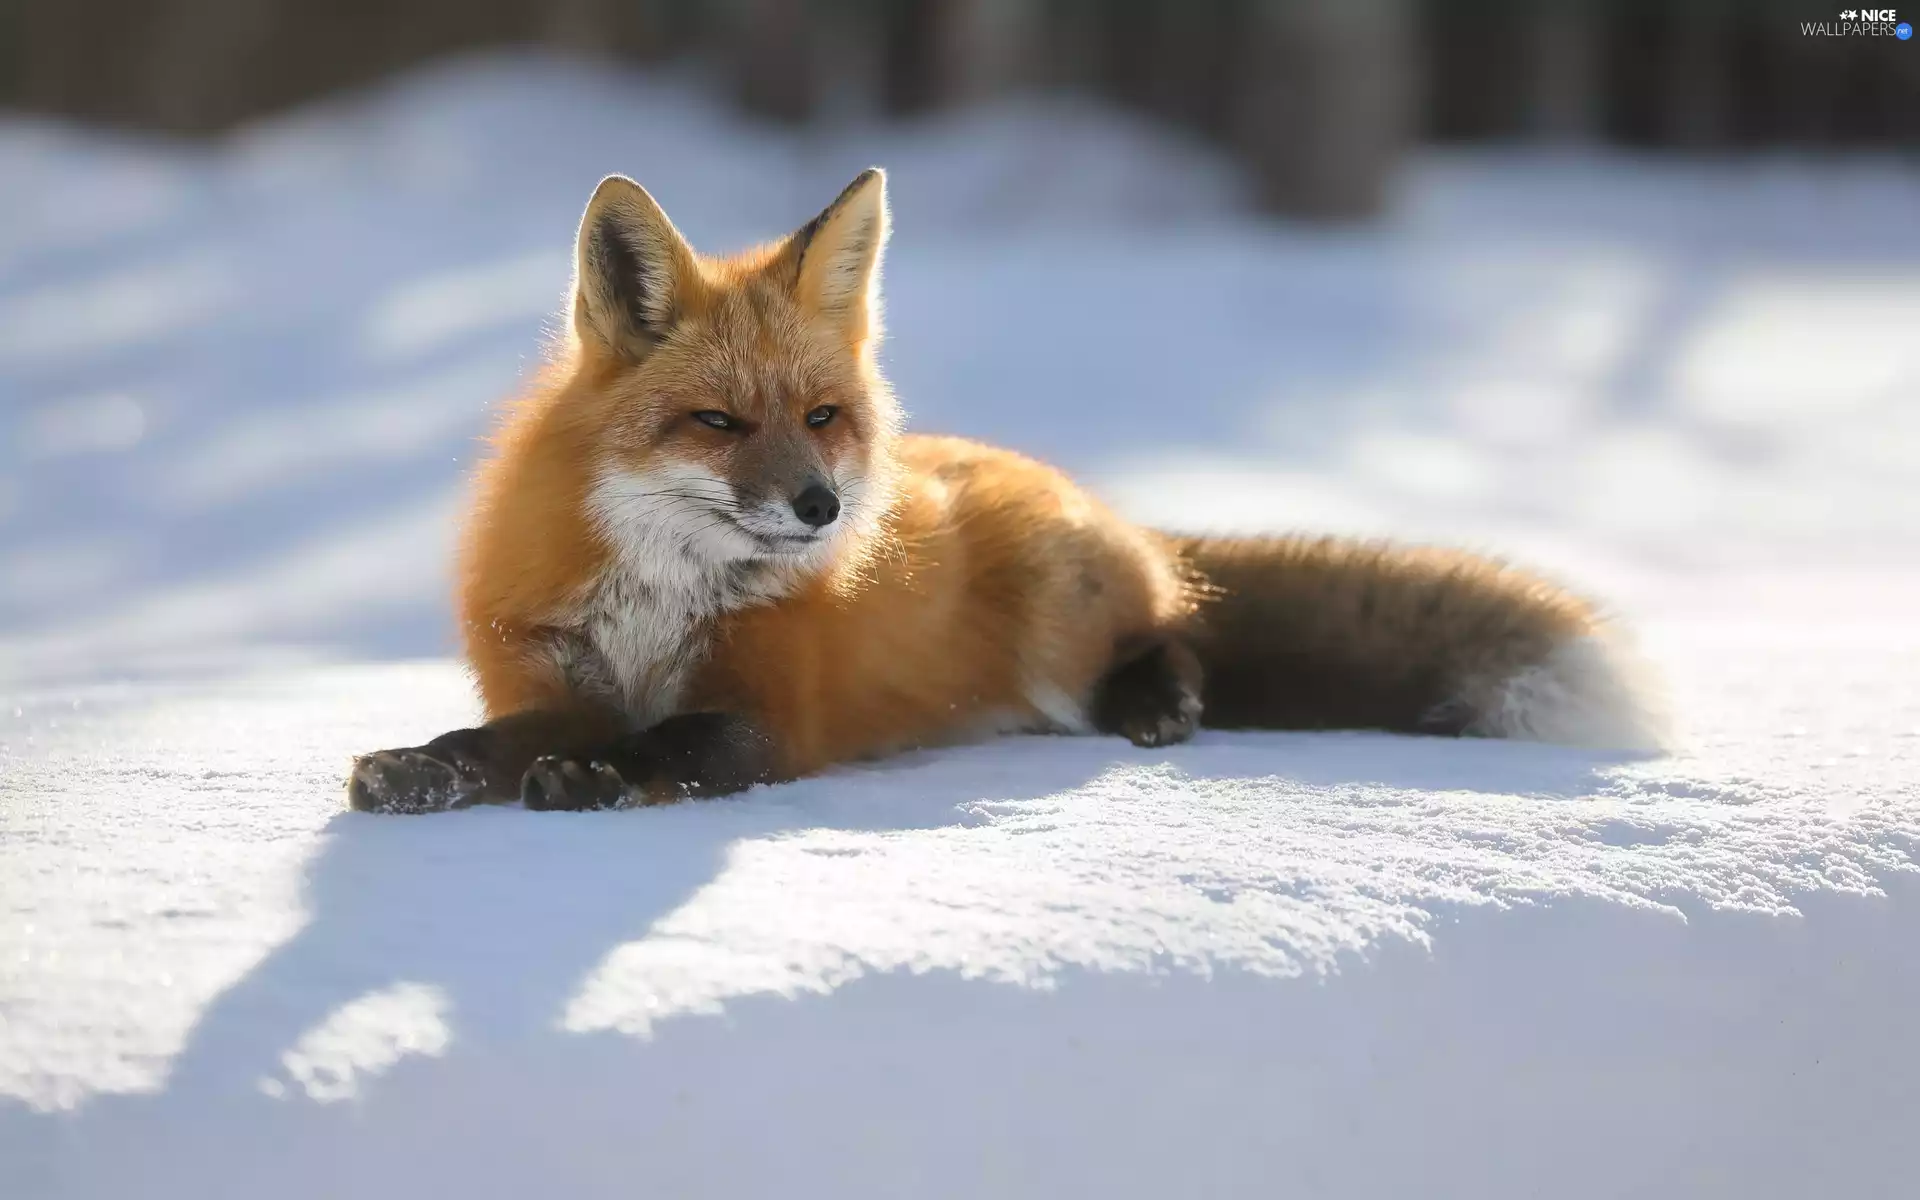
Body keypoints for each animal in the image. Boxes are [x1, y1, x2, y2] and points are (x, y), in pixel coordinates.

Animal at [347, 167, 1668, 815]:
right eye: (716, 423)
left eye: (821, 418)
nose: (824, 508)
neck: (657, 605)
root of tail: (1106, 508)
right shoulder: (553, 683)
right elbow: (486, 739)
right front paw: (422, 766)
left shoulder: (771, 714)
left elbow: (677, 739)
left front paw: (605, 778)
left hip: (1060, 627)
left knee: (1175, 635)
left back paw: (1159, 702)